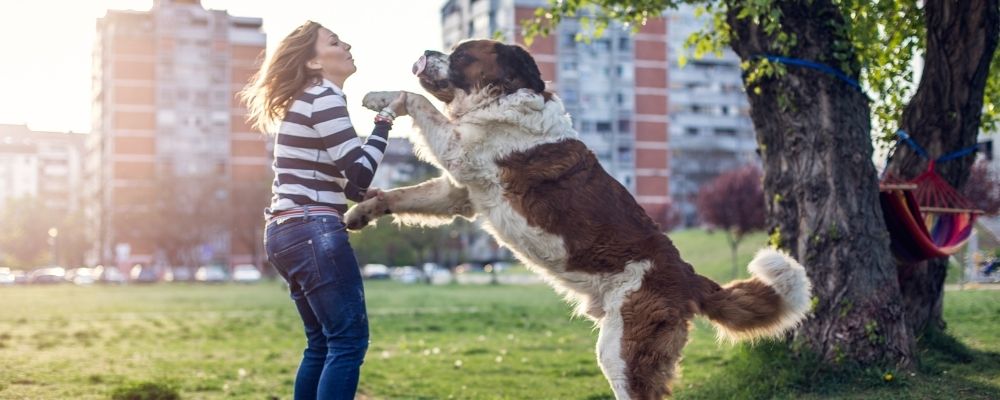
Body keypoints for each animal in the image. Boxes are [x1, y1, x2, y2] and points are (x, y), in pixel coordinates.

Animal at [346, 39, 812, 398]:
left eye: (461, 54)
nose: (426, 51)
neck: (502, 98)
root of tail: (687, 273)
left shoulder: (461, 153)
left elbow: (418, 100)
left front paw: (381, 96)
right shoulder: (459, 192)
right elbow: (402, 196)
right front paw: (361, 210)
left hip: (623, 351)